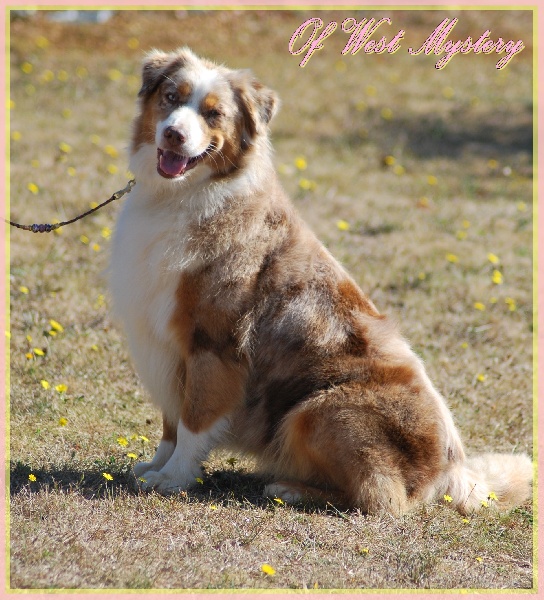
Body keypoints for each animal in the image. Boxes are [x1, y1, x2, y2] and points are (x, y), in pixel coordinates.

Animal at [109, 48, 532, 516]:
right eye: (171, 97)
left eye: (213, 113)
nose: (173, 135)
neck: (180, 197)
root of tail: (453, 468)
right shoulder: (164, 344)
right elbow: (171, 421)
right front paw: (155, 466)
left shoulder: (213, 346)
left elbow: (193, 422)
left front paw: (173, 479)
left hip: (318, 409)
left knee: (383, 499)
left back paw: (290, 489)